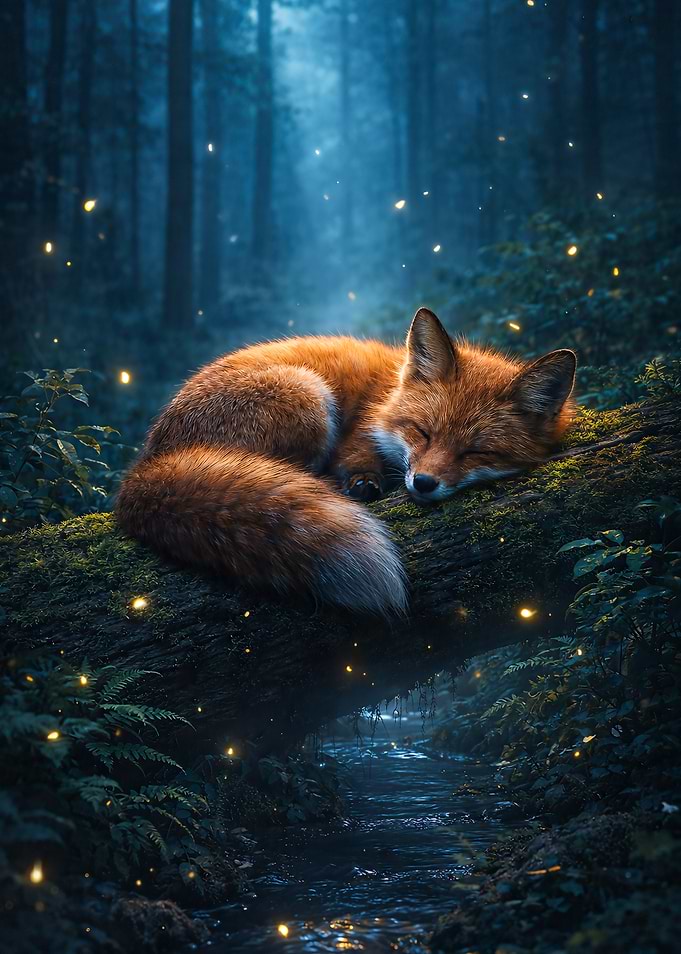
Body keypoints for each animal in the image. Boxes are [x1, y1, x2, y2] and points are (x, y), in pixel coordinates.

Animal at [115, 308, 576, 617]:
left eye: (476, 452)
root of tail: (149, 464)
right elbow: (356, 461)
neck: (387, 394)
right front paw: (363, 481)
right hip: (307, 396)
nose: (424, 483)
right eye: (422, 432)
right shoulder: (357, 438)